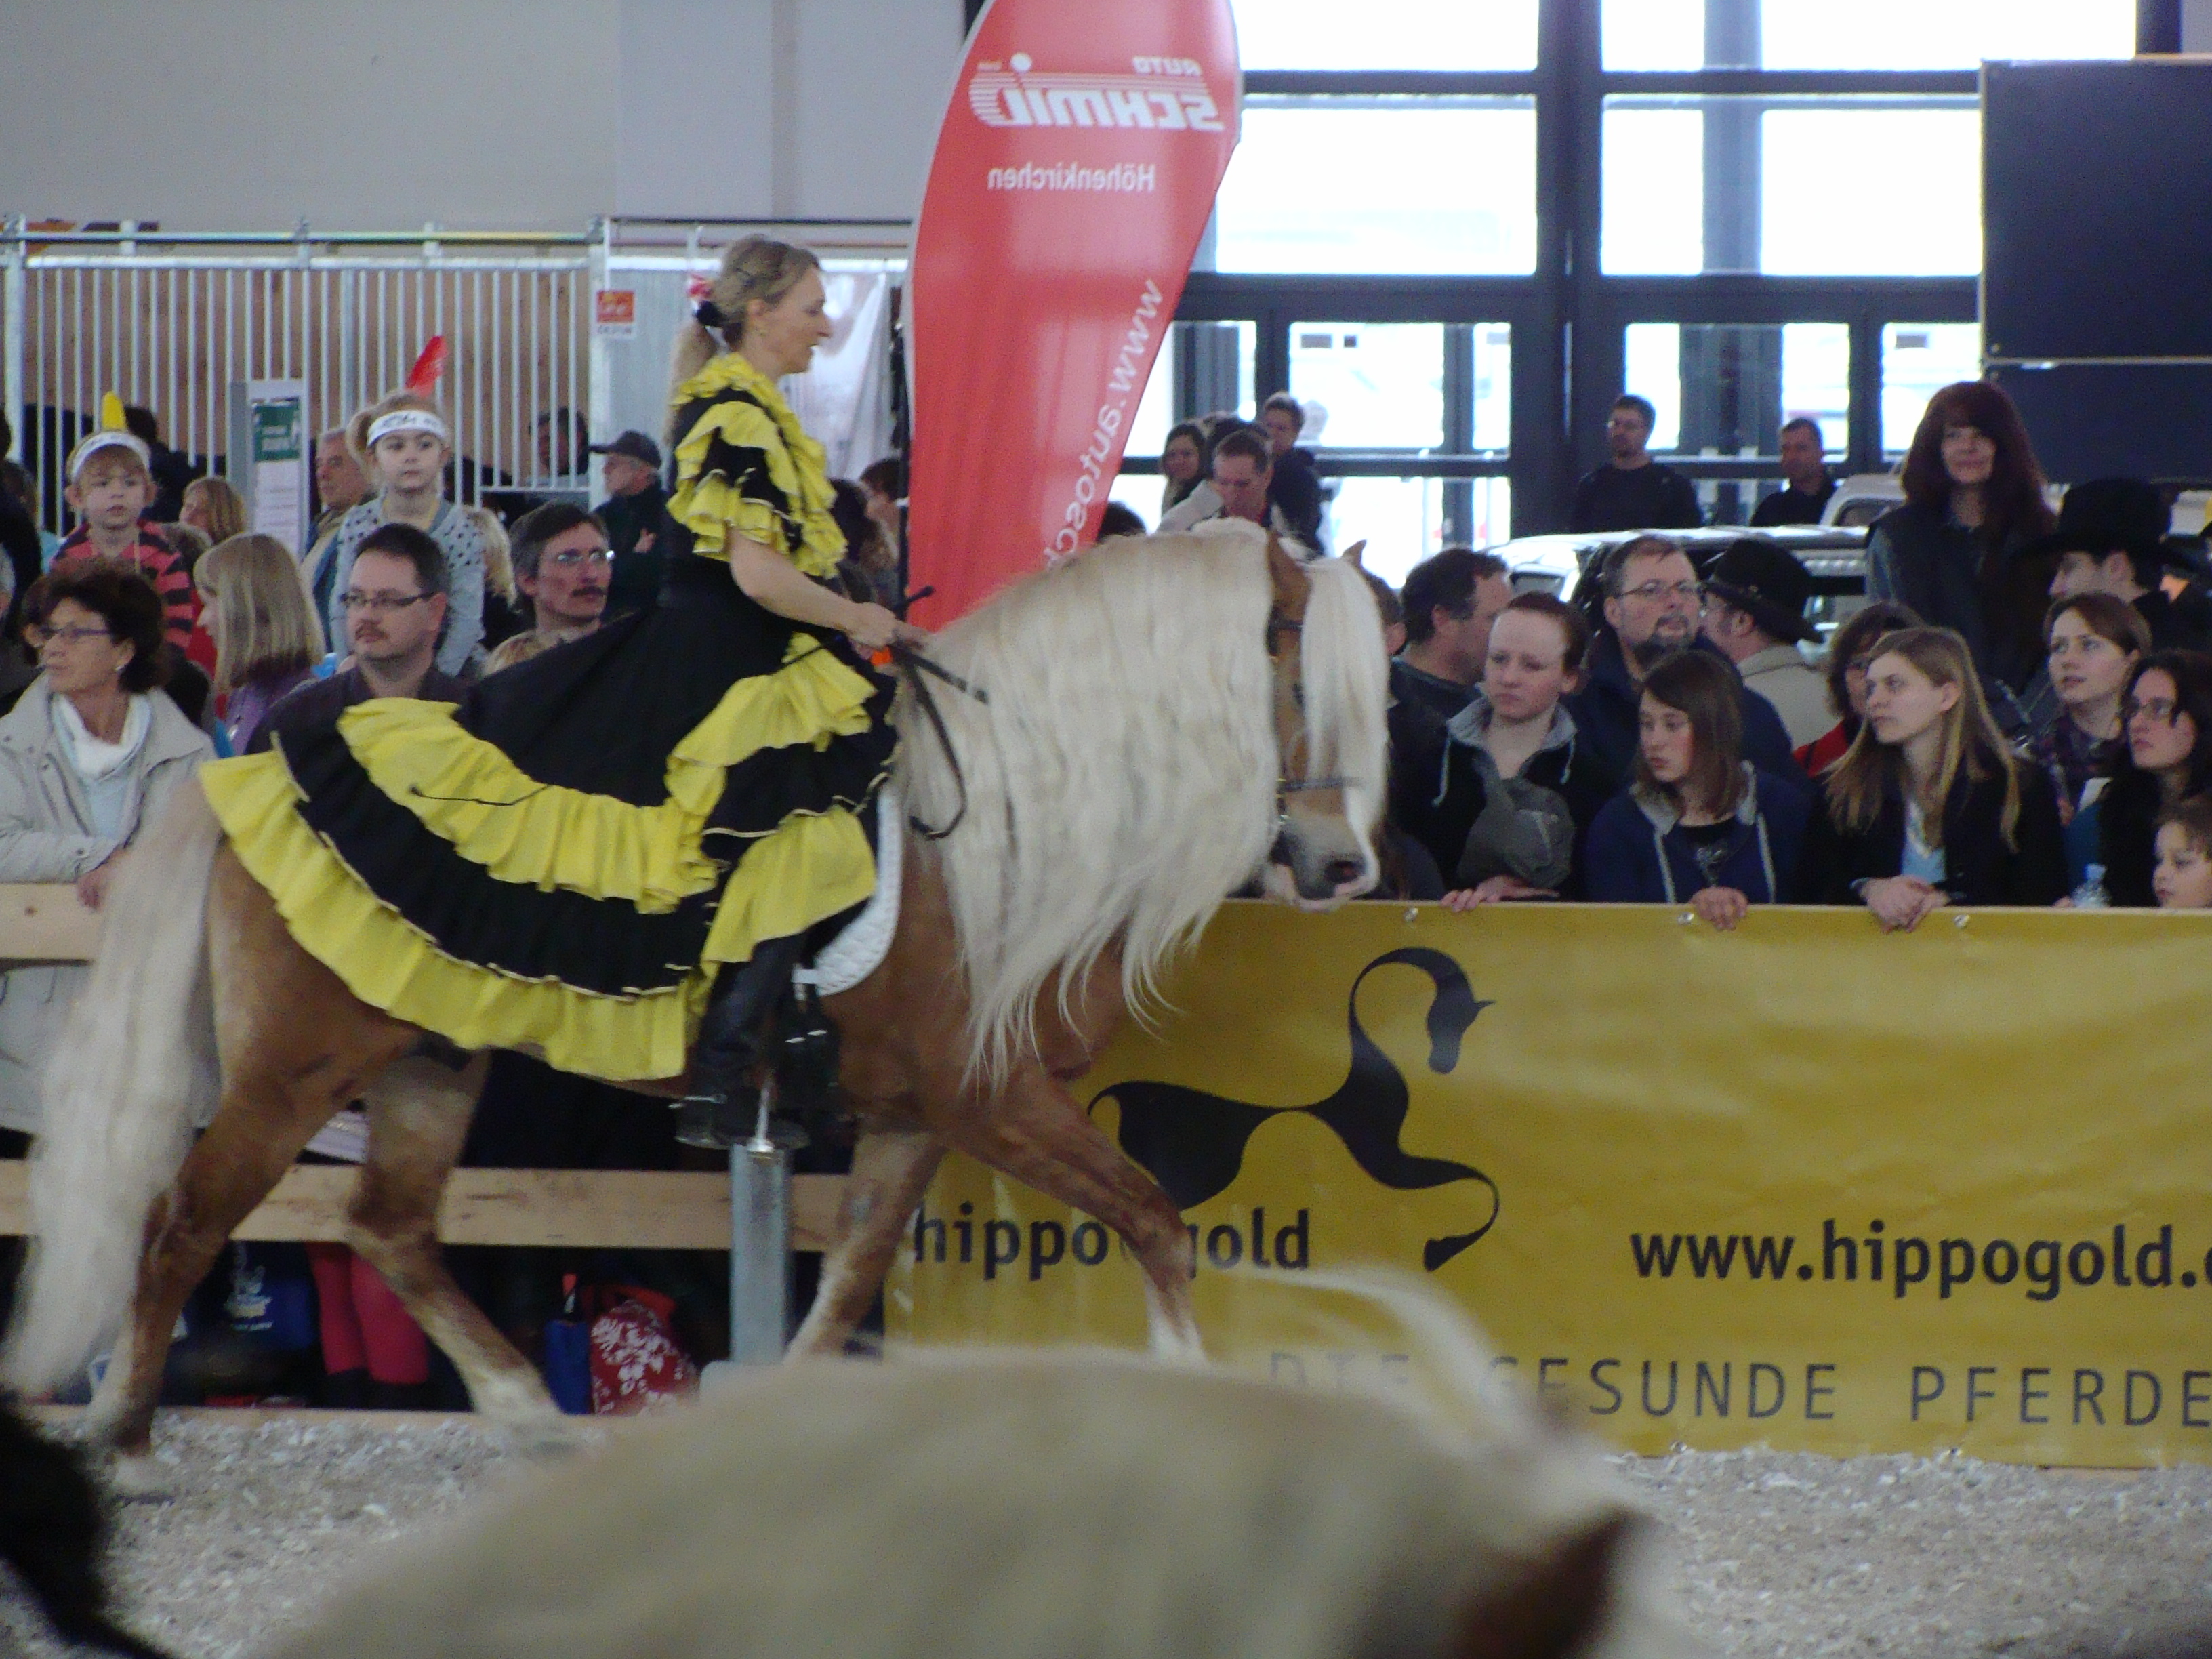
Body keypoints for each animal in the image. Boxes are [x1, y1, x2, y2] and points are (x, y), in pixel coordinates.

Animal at [1, 526, 1389, 1474]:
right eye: (1297, 682)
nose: (1341, 868)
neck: (1002, 820)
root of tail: (250, 768)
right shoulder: (988, 1096)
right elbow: (1154, 1220)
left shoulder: (918, 1111)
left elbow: (854, 1275)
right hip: (294, 1066)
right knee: (182, 1217)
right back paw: (126, 1431)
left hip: (425, 1060)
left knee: (387, 1226)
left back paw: (528, 1413)